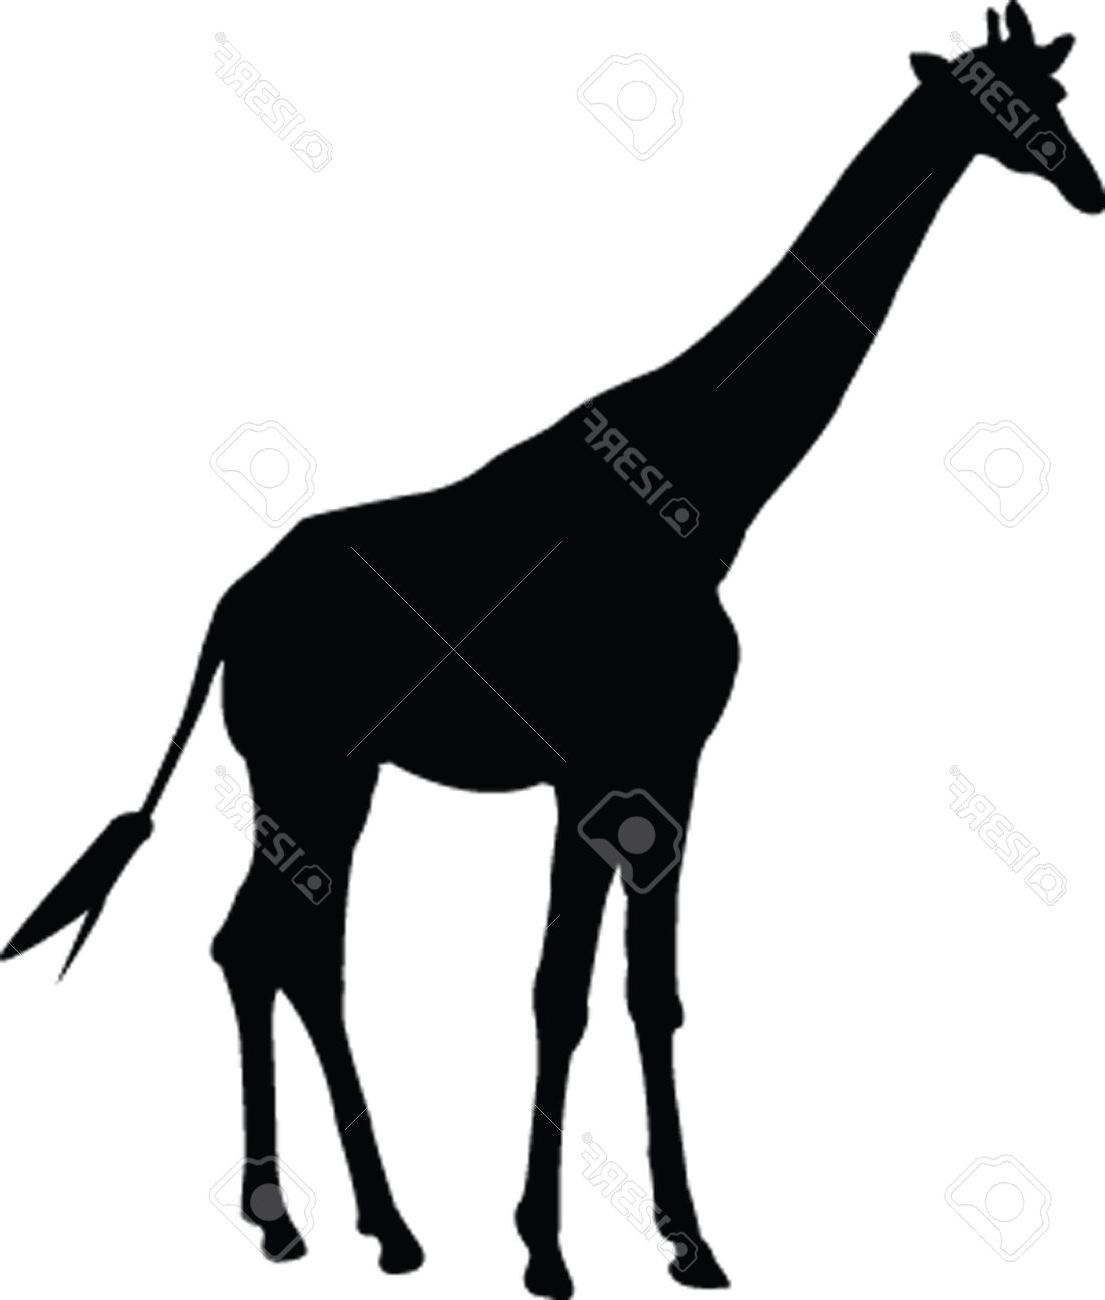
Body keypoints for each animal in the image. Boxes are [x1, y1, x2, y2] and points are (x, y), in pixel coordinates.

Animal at [4, 6, 1101, 1297]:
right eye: (1005, 97)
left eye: (1056, 93)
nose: (1086, 187)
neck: (706, 488)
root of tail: (228, 609)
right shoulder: (604, 769)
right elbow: (563, 995)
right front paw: (550, 1250)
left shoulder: (652, 772)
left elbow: (645, 994)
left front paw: (682, 1238)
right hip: (305, 767)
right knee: (268, 943)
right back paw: (311, 1217)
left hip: (335, 775)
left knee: (276, 946)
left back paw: (359, 1224)